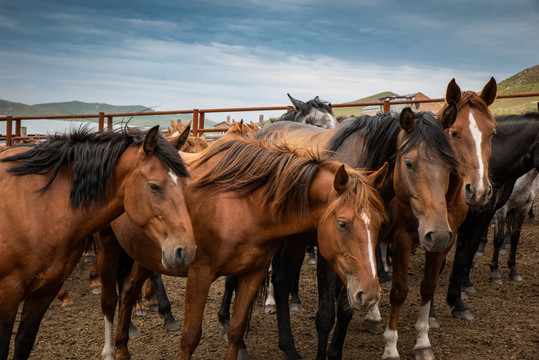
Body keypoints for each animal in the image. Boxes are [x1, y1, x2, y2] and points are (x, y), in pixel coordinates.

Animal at [0, 126, 196, 360]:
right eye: (154, 186)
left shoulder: (45, 291)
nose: (186, 250)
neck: (39, 207)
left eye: (184, 185)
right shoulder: (8, 294)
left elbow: (23, 344)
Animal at [94, 135, 388, 360]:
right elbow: (190, 336)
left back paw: (124, 348)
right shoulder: (199, 274)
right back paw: (111, 349)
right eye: (342, 224)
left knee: (129, 292)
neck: (243, 205)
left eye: (379, 224)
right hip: (109, 247)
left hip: (146, 255)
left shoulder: (253, 273)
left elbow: (235, 330)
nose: (370, 294)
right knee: (110, 299)